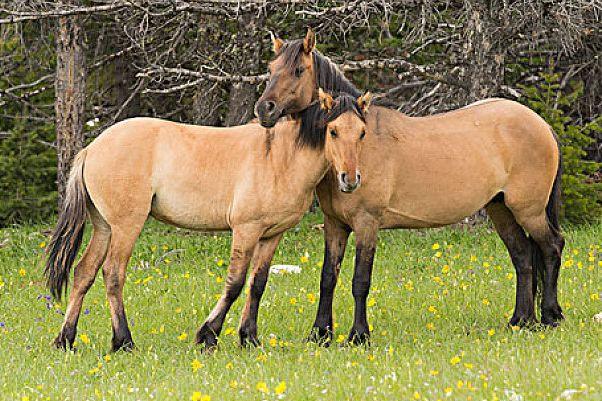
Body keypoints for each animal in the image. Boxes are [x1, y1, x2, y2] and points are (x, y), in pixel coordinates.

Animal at [44, 88, 370, 350]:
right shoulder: (246, 230)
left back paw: (66, 340)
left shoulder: (270, 235)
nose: (350, 179)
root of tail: (91, 148)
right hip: (126, 226)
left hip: (104, 228)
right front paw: (208, 334)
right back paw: (124, 341)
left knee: (83, 273)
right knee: (113, 274)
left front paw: (249, 337)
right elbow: (235, 283)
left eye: (362, 133)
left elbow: (258, 283)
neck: (280, 157)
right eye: (333, 131)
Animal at [253, 30, 564, 344]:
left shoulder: (367, 223)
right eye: (271, 68)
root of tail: (542, 124)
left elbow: (360, 280)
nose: (264, 109)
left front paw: (359, 335)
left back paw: (550, 316)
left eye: (297, 70)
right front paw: (319, 333)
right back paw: (520, 320)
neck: (358, 150)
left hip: (529, 210)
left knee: (551, 247)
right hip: (500, 209)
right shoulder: (335, 224)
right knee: (523, 256)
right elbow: (328, 277)